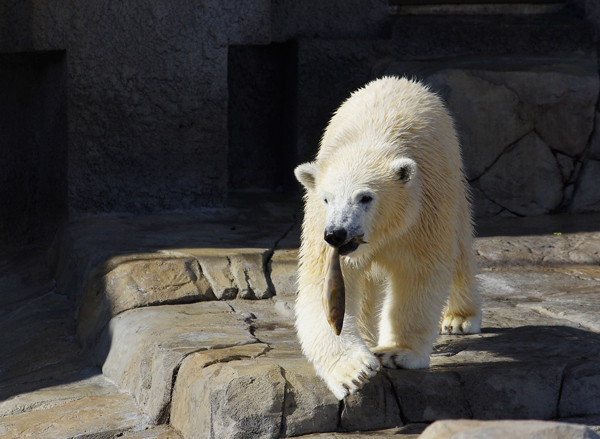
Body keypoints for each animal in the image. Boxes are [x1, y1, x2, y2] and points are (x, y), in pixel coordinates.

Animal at [296, 76, 482, 402]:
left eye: (365, 197)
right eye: (327, 198)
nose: (337, 234)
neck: (369, 140)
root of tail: (400, 81)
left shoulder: (421, 214)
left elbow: (417, 275)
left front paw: (397, 353)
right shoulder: (320, 226)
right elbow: (322, 285)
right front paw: (354, 371)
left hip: (453, 179)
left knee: (460, 247)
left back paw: (460, 318)